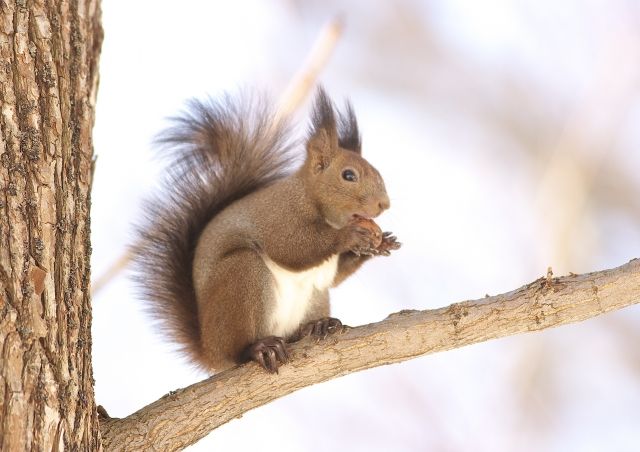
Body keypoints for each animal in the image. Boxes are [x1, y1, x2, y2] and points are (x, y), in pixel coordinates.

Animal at [134, 86, 400, 372]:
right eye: (348, 175)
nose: (384, 204)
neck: (309, 198)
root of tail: (209, 352)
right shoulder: (279, 216)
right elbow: (292, 250)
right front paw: (350, 236)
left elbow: (336, 277)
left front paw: (383, 243)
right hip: (242, 275)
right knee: (236, 349)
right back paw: (258, 348)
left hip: (316, 297)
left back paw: (316, 326)